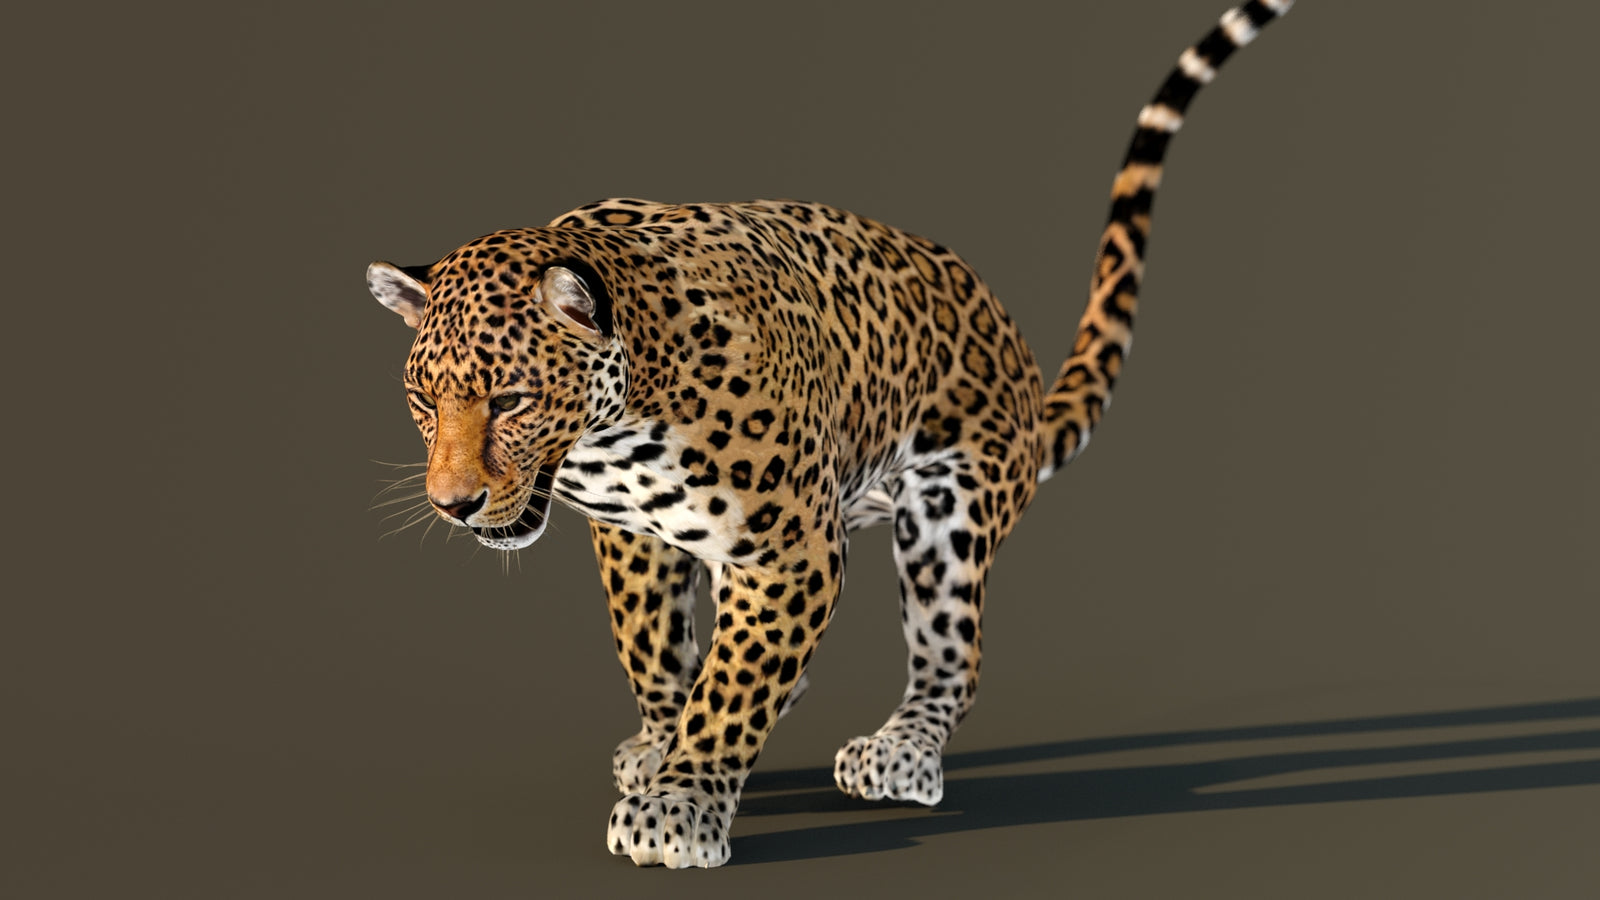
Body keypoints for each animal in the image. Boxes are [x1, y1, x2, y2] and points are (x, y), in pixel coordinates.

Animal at [366, 1, 1293, 868]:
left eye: (512, 399)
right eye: (422, 400)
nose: (453, 505)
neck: (617, 426)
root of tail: (1021, 369)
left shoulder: (791, 547)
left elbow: (734, 686)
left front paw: (679, 807)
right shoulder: (634, 537)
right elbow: (653, 646)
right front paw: (664, 742)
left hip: (950, 511)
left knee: (953, 656)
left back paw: (899, 752)